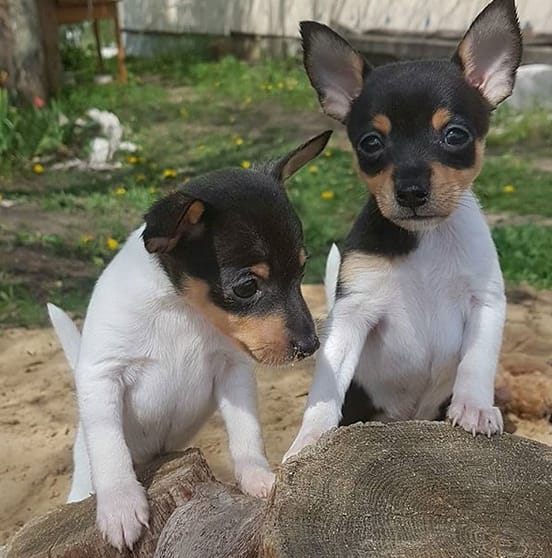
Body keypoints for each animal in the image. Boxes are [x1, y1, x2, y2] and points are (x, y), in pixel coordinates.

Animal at [47, 129, 331, 550]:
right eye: (246, 287)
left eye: (302, 271)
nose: (311, 346)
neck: (182, 311)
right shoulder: (102, 375)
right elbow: (110, 447)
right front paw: (120, 506)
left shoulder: (233, 372)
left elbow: (247, 432)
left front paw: (258, 478)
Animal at [284, 0, 522, 461]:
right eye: (371, 143)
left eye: (455, 135)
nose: (411, 191)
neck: (426, 240)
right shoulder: (351, 314)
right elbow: (324, 388)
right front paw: (310, 438)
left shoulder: (485, 302)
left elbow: (477, 362)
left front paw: (475, 407)